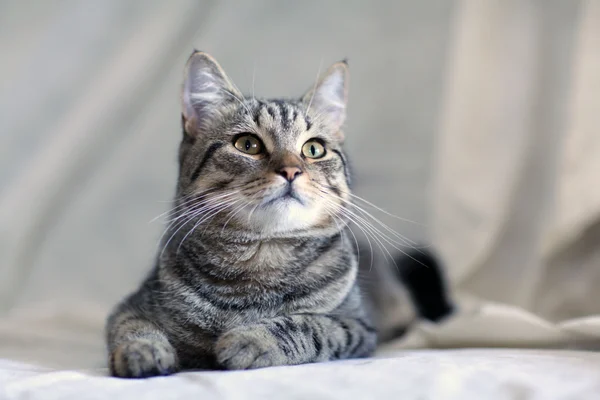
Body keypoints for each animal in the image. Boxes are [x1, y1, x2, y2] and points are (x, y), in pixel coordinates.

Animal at [105, 50, 450, 378]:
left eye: (314, 149)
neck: (263, 257)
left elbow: (307, 325)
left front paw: (251, 339)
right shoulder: (129, 306)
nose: (291, 171)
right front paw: (142, 352)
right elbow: (133, 328)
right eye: (247, 144)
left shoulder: (355, 326)